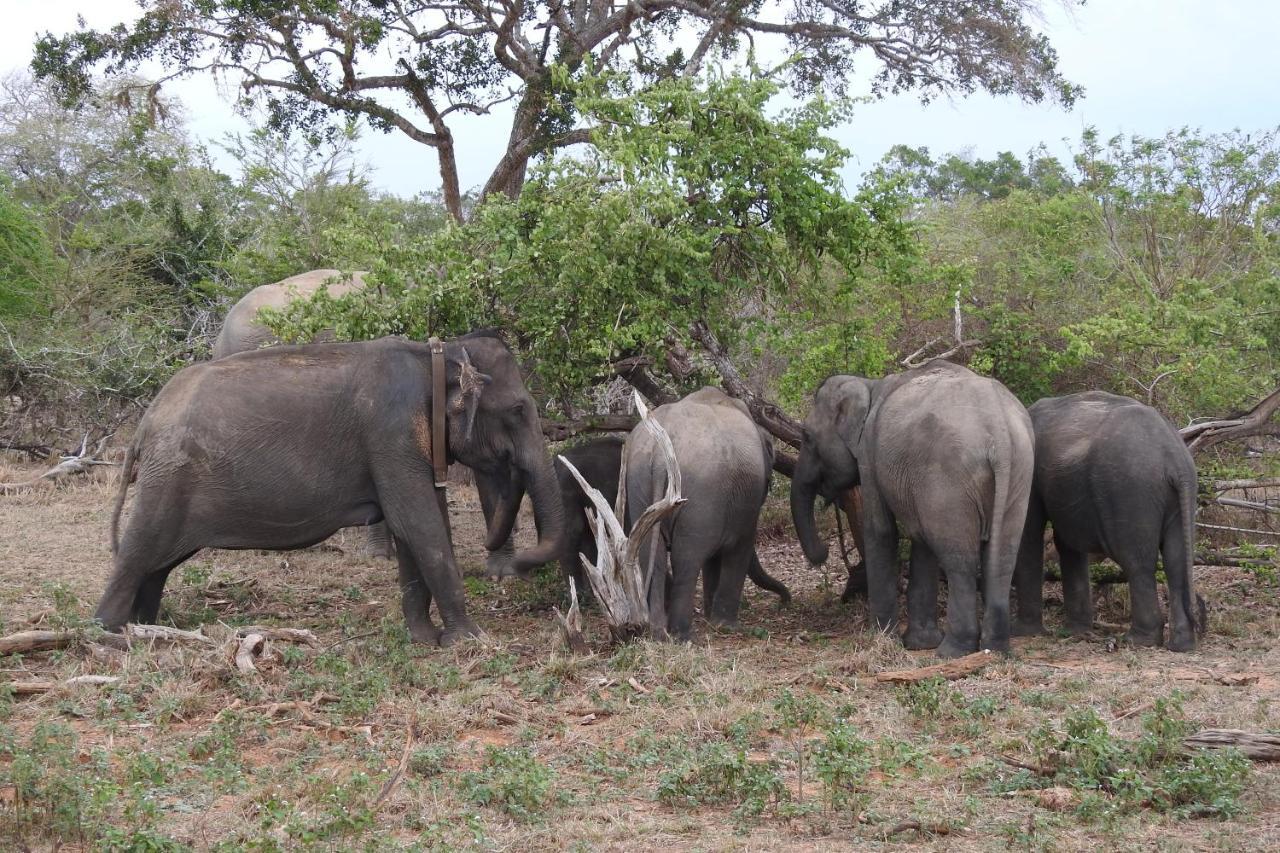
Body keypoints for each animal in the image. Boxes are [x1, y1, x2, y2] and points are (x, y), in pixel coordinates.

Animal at [94, 333, 565, 645]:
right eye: (518, 410)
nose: (517, 564)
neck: (436, 353)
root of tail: (146, 422)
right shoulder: (390, 433)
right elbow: (419, 524)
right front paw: (469, 642)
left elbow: (415, 527)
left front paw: (424, 640)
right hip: (168, 477)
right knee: (141, 551)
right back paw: (112, 634)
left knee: (158, 563)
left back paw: (149, 624)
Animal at [624, 384, 773, 637]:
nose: (785, 601)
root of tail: (660, 455)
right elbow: (738, 549)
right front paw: (724, 625)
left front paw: (712, 618)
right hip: (700, 492)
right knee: (687, 558)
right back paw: (683, 635)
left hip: (639, 480)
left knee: (651, 553)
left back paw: (658, 633)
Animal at [788, 361, 1039, 653]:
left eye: (807, 436)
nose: (824, 553)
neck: (869, 385)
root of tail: (1000, 431)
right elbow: (920, 537)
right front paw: (919, 643)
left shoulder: (870, 452)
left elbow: (881, 530)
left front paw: (883, 637)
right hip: (1020, 472)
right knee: (1001, 558)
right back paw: (995, 647)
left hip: (950, 479)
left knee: (959, 561)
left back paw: (953, 650)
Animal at [1008, 389, 1198, 648]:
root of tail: (1175, 459)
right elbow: (1067, 542)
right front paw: (1075, 631)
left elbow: (1030, 531)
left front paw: (1022, 631)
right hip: (1175, 497)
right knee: (1175, 560)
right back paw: (1181, 645)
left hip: (1130, 490)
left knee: (1136, 561)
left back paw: (1138, 639)